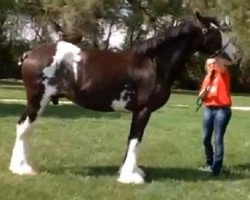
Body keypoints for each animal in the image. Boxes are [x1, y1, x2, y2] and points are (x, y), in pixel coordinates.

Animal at [8, 11, 241, 184]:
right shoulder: (143, 110)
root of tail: (29, 54)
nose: (236, 55)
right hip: (37, 100)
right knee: (23, 127)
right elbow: (135, 140)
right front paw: (131, 176)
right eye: (215, 32)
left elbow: (131, 140)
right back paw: (21, 168)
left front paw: (128, 171)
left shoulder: (138, 111)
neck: (153, 63)